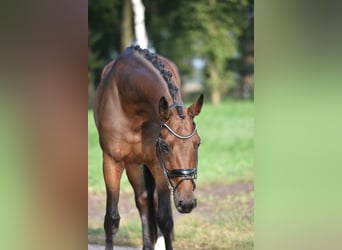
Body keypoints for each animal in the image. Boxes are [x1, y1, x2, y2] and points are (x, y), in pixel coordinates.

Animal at [93, 45, 203, 250]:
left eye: (197, 143)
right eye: (165, 145)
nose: (187, 202)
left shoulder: (157, 164)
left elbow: (165, 219)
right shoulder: (111, 161)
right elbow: (111, 220)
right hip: (133, 164)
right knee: (143, 199)